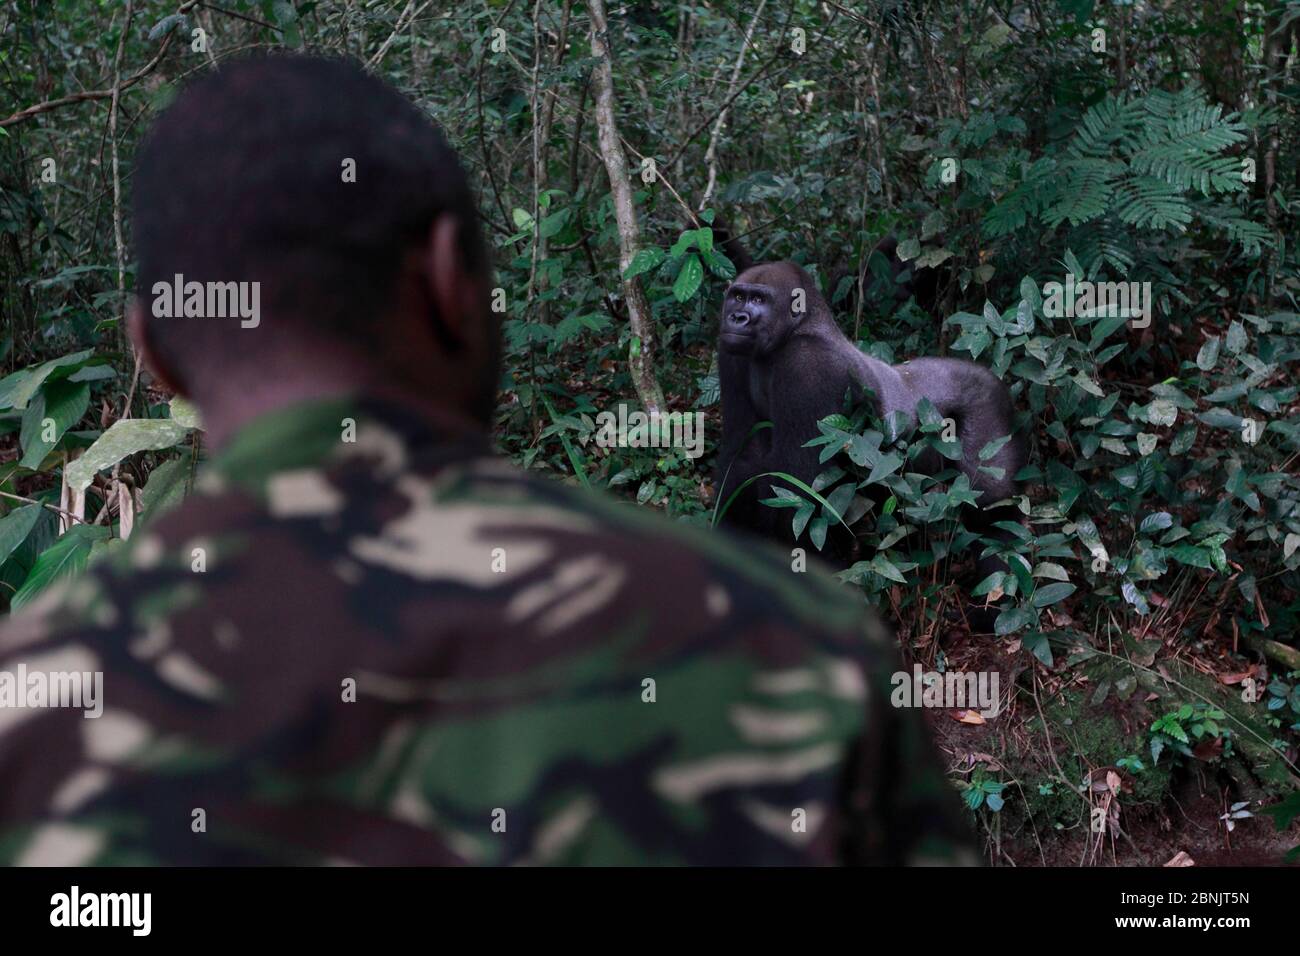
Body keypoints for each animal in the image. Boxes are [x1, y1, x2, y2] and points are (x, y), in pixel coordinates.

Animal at [712, 257, 1024, 590]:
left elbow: (798, 494)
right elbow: (743, 457)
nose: (736, 317)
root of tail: (991, 375)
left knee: (993, 511)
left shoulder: (807, 366)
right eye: (738, 296)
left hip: (989, 405)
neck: (797, 330)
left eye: (759, 300)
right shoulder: (731, 353)